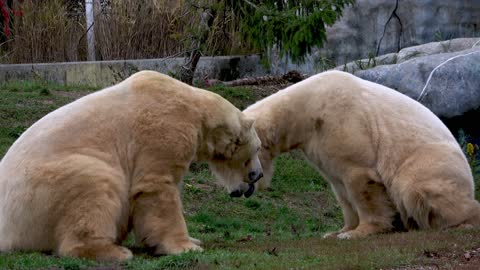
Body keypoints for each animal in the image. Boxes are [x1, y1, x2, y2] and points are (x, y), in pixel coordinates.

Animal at [0, 70, 262, 260]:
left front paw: (193, 240)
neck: (196, 109)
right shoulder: (163, 129)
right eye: (258, 149)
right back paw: (115, 252)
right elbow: (156, 188)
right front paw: (186, 247)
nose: (257, 175)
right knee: (95, 184)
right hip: (41, 189)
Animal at [242, 71, 480, 238]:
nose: (246, 186)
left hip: (430, 161)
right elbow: (340, 188)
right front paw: (337, 231)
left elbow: (359, 178)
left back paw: (463, 221)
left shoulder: (343, 121)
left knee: (413, 187)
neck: (308, 110)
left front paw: (359, 232)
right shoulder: (317, 144)